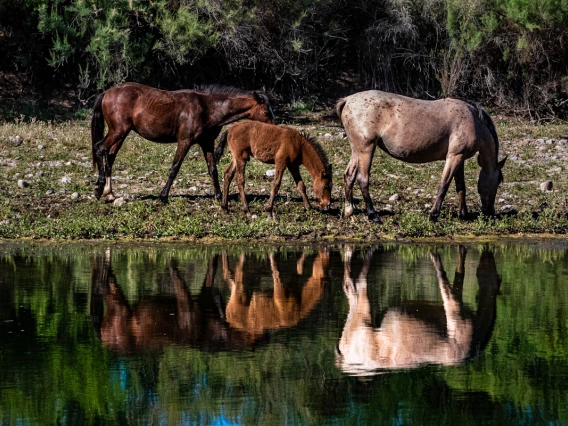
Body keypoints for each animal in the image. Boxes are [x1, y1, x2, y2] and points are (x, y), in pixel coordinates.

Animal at [91, 84, 276, 204]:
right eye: (266, 112)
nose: (275, 129)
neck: (207, 108)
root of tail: (106, 92)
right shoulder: (185, 141)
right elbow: (174, 168)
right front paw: (163, 196)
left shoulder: (207, 143)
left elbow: (213, 169)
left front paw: (218, 196)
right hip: (118, 131)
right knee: (100, 149)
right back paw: (99, 190)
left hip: (121, 133)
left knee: (110, 155)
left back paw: (109, 193)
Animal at [336, 90, 508, 223]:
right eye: (499, 180)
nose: (490, 211)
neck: (474, 121)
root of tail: (347, 100)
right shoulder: (454, 157)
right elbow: (444, 185)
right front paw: (433, 215)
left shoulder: (460, 158)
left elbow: (461, 187)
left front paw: (464, 215)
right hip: (366, 149)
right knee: (363, 179)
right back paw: (373, 215)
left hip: (357, 150)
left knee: (349, 176)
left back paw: (349, 210)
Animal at [336, 246, 500, 376]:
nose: (488, 253)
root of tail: (347, 357)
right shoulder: (455, 309)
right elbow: (442, 278)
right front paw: (435, 255)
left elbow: (460, 272)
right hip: (364, 316)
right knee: (359, 283)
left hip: (356, 317)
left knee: (350, 288)